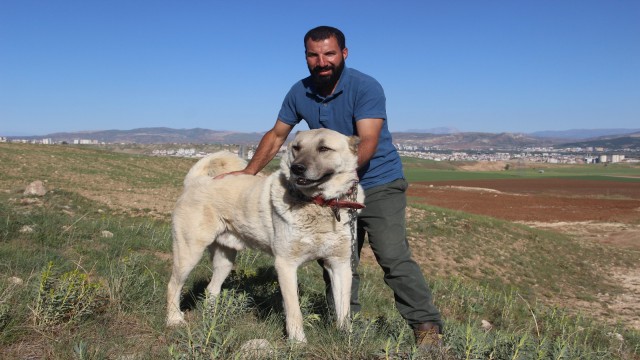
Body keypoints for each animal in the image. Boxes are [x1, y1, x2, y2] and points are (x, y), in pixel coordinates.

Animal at [165, 128, 364, 342]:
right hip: (189, 253)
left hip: (225, 260)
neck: (320, 204)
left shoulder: (339, 265)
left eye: (324, 148)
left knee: (211, 289)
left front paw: (347, 339)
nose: (297, 168)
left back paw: (212, 319)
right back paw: (174, 319)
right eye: (296, 147)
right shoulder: (286, 264)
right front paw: (298, 342)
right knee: (173, 285)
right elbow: (294, 310)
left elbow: (344, 309)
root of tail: (196, 181)